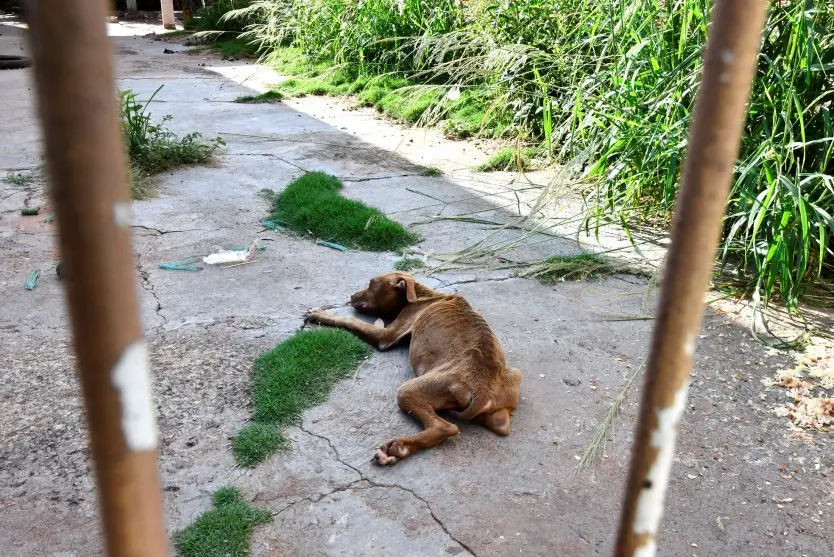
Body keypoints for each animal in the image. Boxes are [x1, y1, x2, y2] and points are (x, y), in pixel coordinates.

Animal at [305, 272, 522, 465]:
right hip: (512, 385)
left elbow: (351, 321)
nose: (351, 296)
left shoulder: (389, 334)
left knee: (446, 427)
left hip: (412, 389)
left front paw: (319, 314)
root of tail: (483, 392)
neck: (423, 294)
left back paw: (396, 449)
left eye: (371, 283)